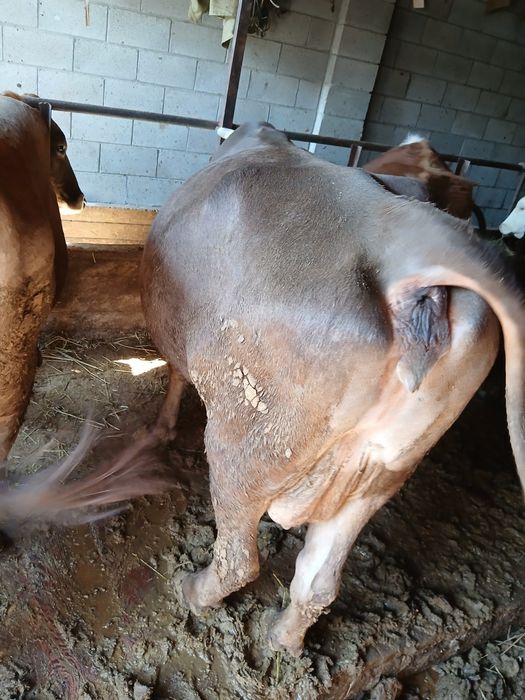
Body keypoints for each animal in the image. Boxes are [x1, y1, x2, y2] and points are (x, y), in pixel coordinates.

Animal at [140, 122, 525, 656]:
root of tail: (409, 228)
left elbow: (175, 377)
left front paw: (160, 430)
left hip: (250, 441)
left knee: (240, 554)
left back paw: (194, 591)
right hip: (384, 469)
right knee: (319, 579)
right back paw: (282, 638)